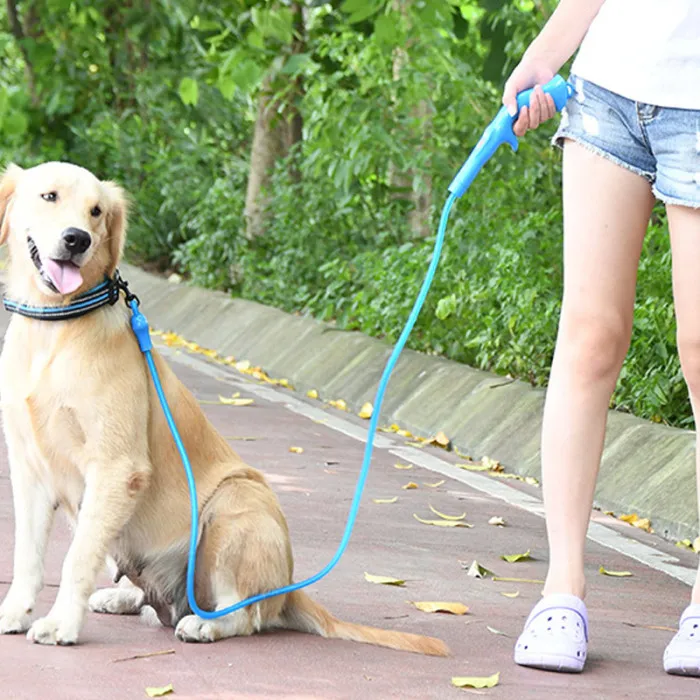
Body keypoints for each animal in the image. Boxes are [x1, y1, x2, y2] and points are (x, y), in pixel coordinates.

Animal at [0, 161, 448, 652]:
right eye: (50, 196)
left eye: (96, 211)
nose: (77, 239)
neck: (54, 330)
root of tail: (286, 587)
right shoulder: (29, 469)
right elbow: (27, 558)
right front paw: (16, 612)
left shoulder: (117, 466)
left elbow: (77, 558)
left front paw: (61, 624)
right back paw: (122, 597)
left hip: (234, 505)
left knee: (245, 614)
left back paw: (205, 624)